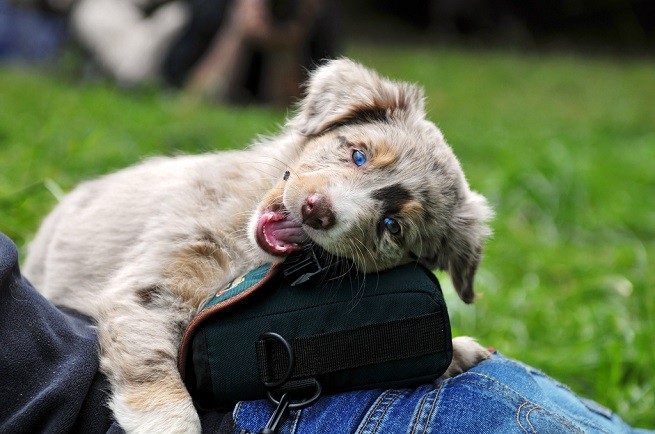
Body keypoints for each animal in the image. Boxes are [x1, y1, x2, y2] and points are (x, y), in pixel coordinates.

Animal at [23, 58, 492, 434]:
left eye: (392, 226)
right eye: (358, 155)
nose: (317, 211)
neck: (246, 244)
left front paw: (460, 350)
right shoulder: (149, 287)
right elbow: (155, 371)